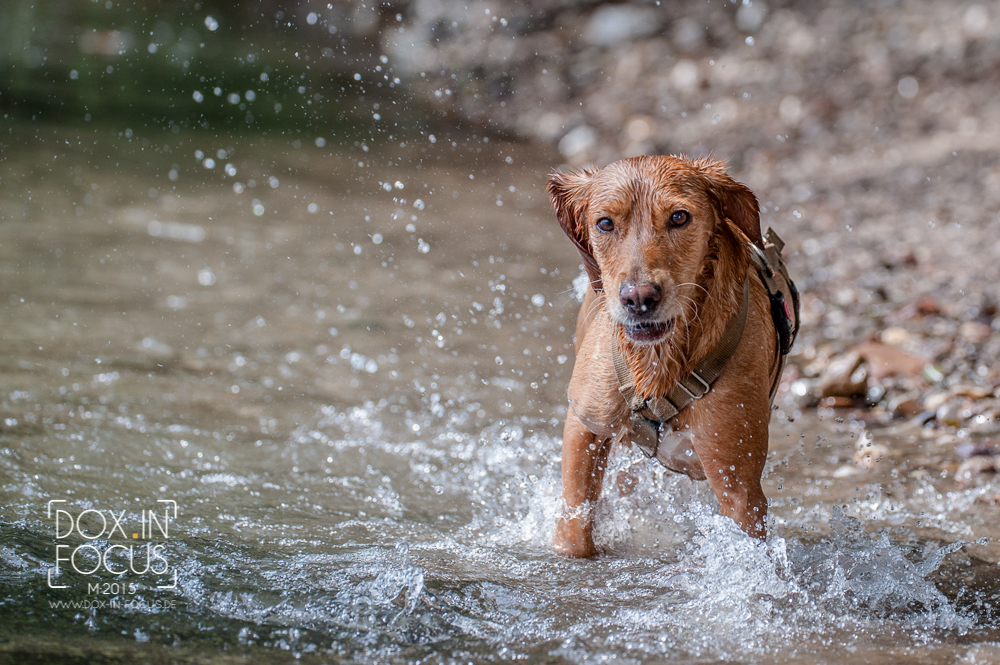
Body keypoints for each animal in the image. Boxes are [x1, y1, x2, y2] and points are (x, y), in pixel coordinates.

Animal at [548, 154, 788, 556]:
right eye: (605, 223)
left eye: (679, 217)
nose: (639, 298)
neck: (658, 364)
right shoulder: (584, 426)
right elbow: (574, 527)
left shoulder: (738, 484)